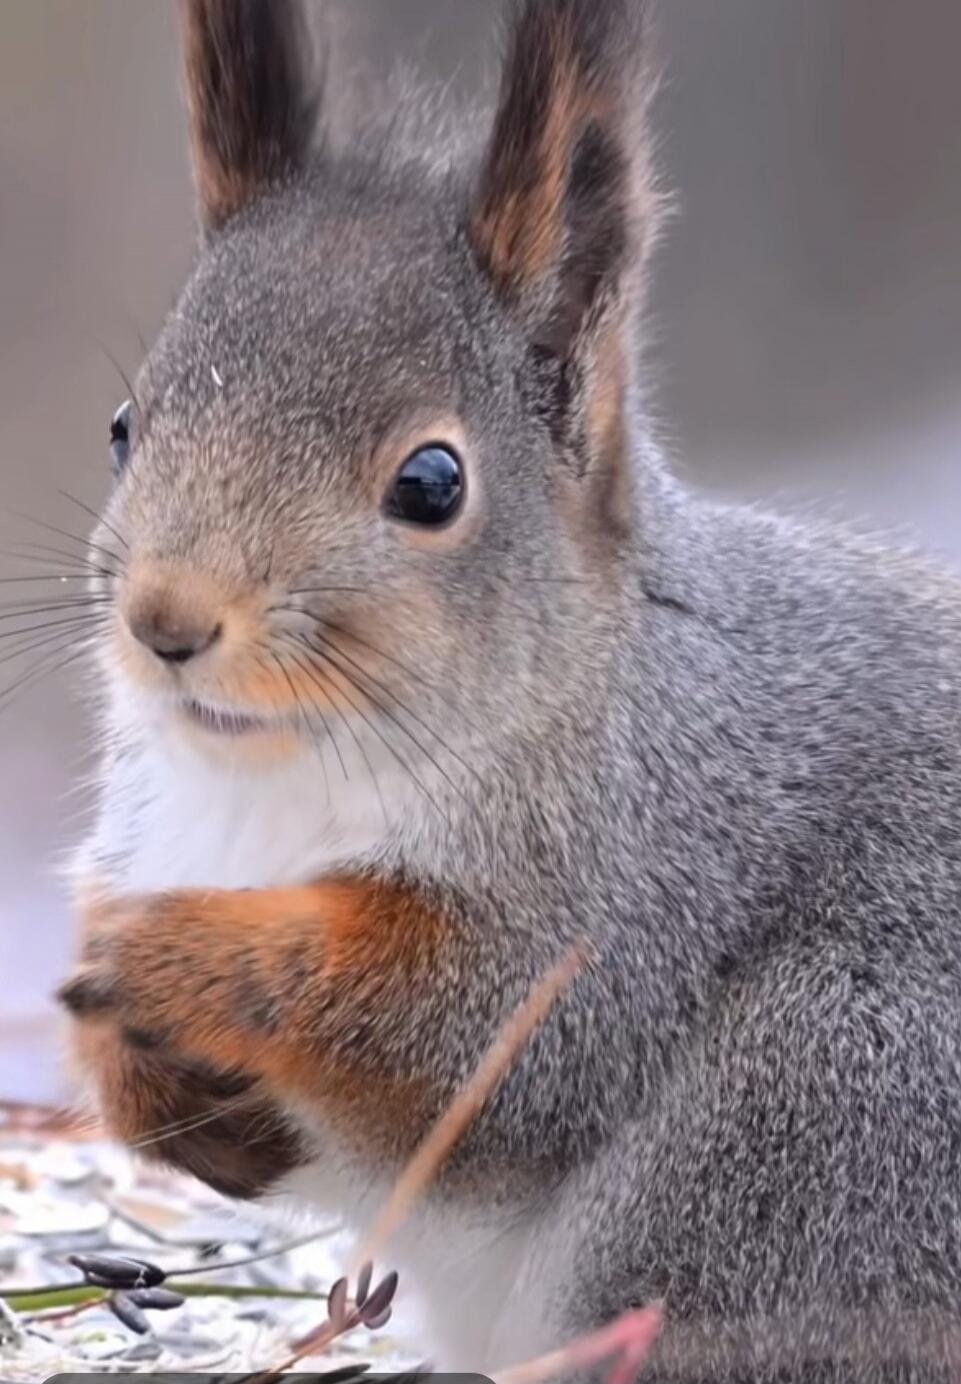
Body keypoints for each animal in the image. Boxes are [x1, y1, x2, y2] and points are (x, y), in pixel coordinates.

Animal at [56, 0, 961, 1378]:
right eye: (122, 426)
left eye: (431, 483)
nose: (167, 620)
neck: (282, 776)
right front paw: (150, 1081)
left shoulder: (642, 874)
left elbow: (472, 1034)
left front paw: (163, 953)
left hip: (808, 1116)